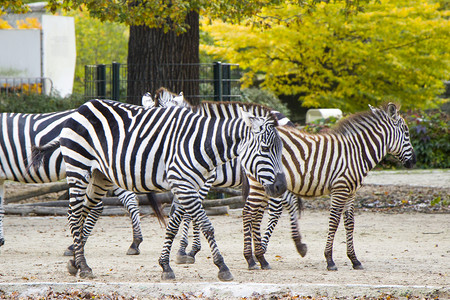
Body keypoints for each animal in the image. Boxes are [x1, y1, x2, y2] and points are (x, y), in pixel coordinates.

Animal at [29, 99, 286, 282]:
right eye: (265, 148)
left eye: (281, 149)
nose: (281, 186)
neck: (202, 145)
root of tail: (82, 107)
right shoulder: (184, 183)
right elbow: (206, 225)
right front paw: (222, 267)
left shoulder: (188, 185)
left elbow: (174, 225)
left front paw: (166, 265)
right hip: (78, 168)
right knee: (73, 215)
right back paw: (83, 266)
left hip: (100, 176)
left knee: (85, 213)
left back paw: (76, 262)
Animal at [146, 86, 308, 264]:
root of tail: (286, 119)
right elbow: (182, 210)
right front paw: (187, 249)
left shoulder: (205, 179)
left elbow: (188, 212)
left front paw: (185, 250)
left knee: (280, 207)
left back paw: (279, 247)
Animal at [244, 102, 416, 270]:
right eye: (406, 132)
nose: (413, 161)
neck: (357, 153)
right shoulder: (340, 188)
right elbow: (334, 221)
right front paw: (330, 259)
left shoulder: (351, 191)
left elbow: (349, 223)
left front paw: (354, 259)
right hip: (264, 182)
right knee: (248, 212)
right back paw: (252, 259)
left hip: (266, 184)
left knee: (256, 215)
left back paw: (260, 258)